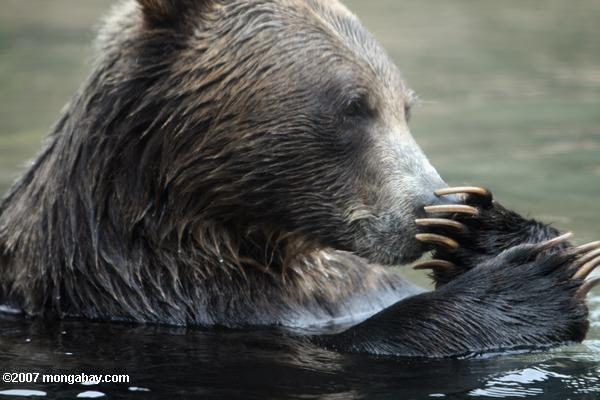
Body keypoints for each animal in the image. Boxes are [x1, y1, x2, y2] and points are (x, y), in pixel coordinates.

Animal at [1, 0, 600, 356]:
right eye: (353, 106)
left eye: (404, 107)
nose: (428, 204)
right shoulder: (164, 299)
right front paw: (526, 283)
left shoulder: (345, 287)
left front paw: (480, 231)